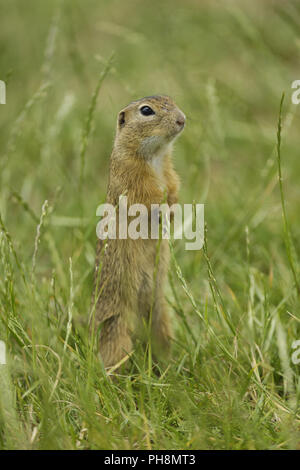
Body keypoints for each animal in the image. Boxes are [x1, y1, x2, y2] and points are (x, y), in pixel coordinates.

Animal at [91, 94, 185, 368]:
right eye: (146, 111)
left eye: (171, 99)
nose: (182, 119)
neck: (155, 156)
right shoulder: (130, 176)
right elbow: (146, 196)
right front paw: (163, 207)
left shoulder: (169, 171)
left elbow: (173, 185)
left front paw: (173, 207)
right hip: (118, 324)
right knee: (113, 350)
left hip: (160, 312)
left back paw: (168, 362)